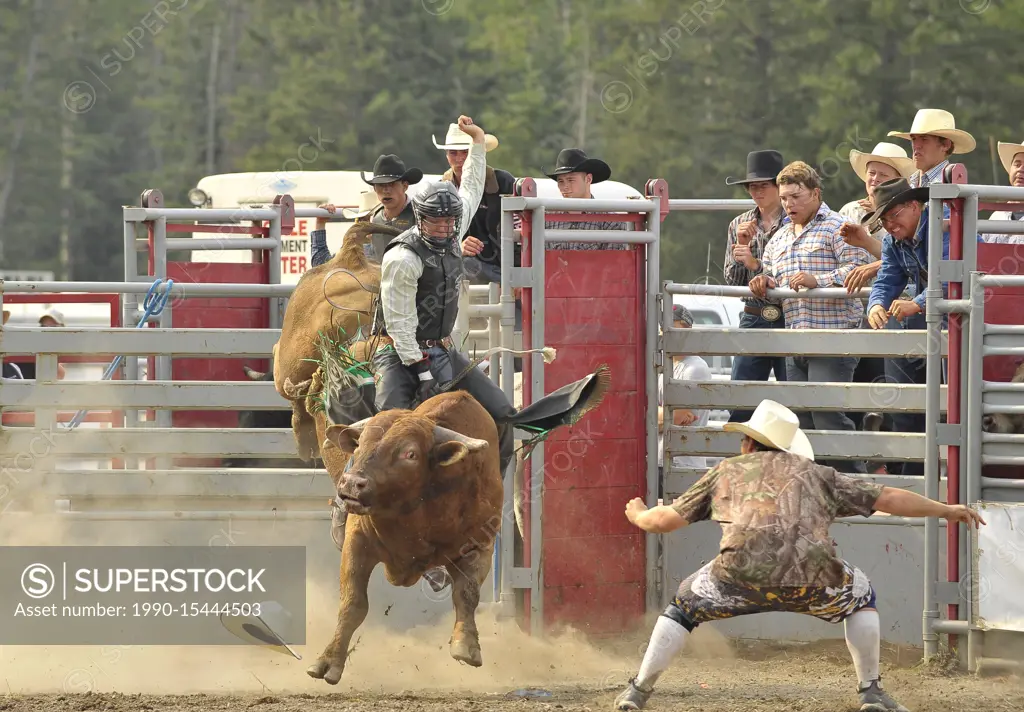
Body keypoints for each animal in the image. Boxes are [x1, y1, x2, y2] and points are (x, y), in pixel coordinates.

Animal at [307, 389, 507, 684]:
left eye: (410, 453)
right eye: (359, 444)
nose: (351, 483)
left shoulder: (481, 545)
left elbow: (466, 594)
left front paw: (466, 645)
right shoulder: (357, 541)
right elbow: (352, 603)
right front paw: (328, 661)